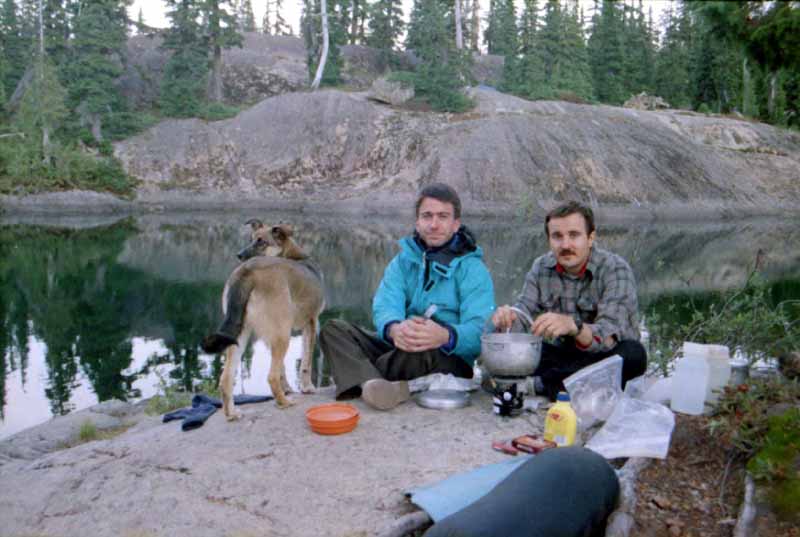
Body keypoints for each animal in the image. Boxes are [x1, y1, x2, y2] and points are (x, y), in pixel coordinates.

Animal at [201, 219, 325, 416]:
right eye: (251, 239)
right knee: (271, 377)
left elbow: (283, 368)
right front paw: (307, 388)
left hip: (240, 335)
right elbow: (305, 363)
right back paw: (284, 402)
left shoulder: (274, 334)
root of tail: (246, 270)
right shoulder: (312, 322)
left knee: (225, 378)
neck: (293, 256)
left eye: (261, 242)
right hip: (282, 335)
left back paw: (232, 414)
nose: (239, 255)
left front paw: (288, 388)